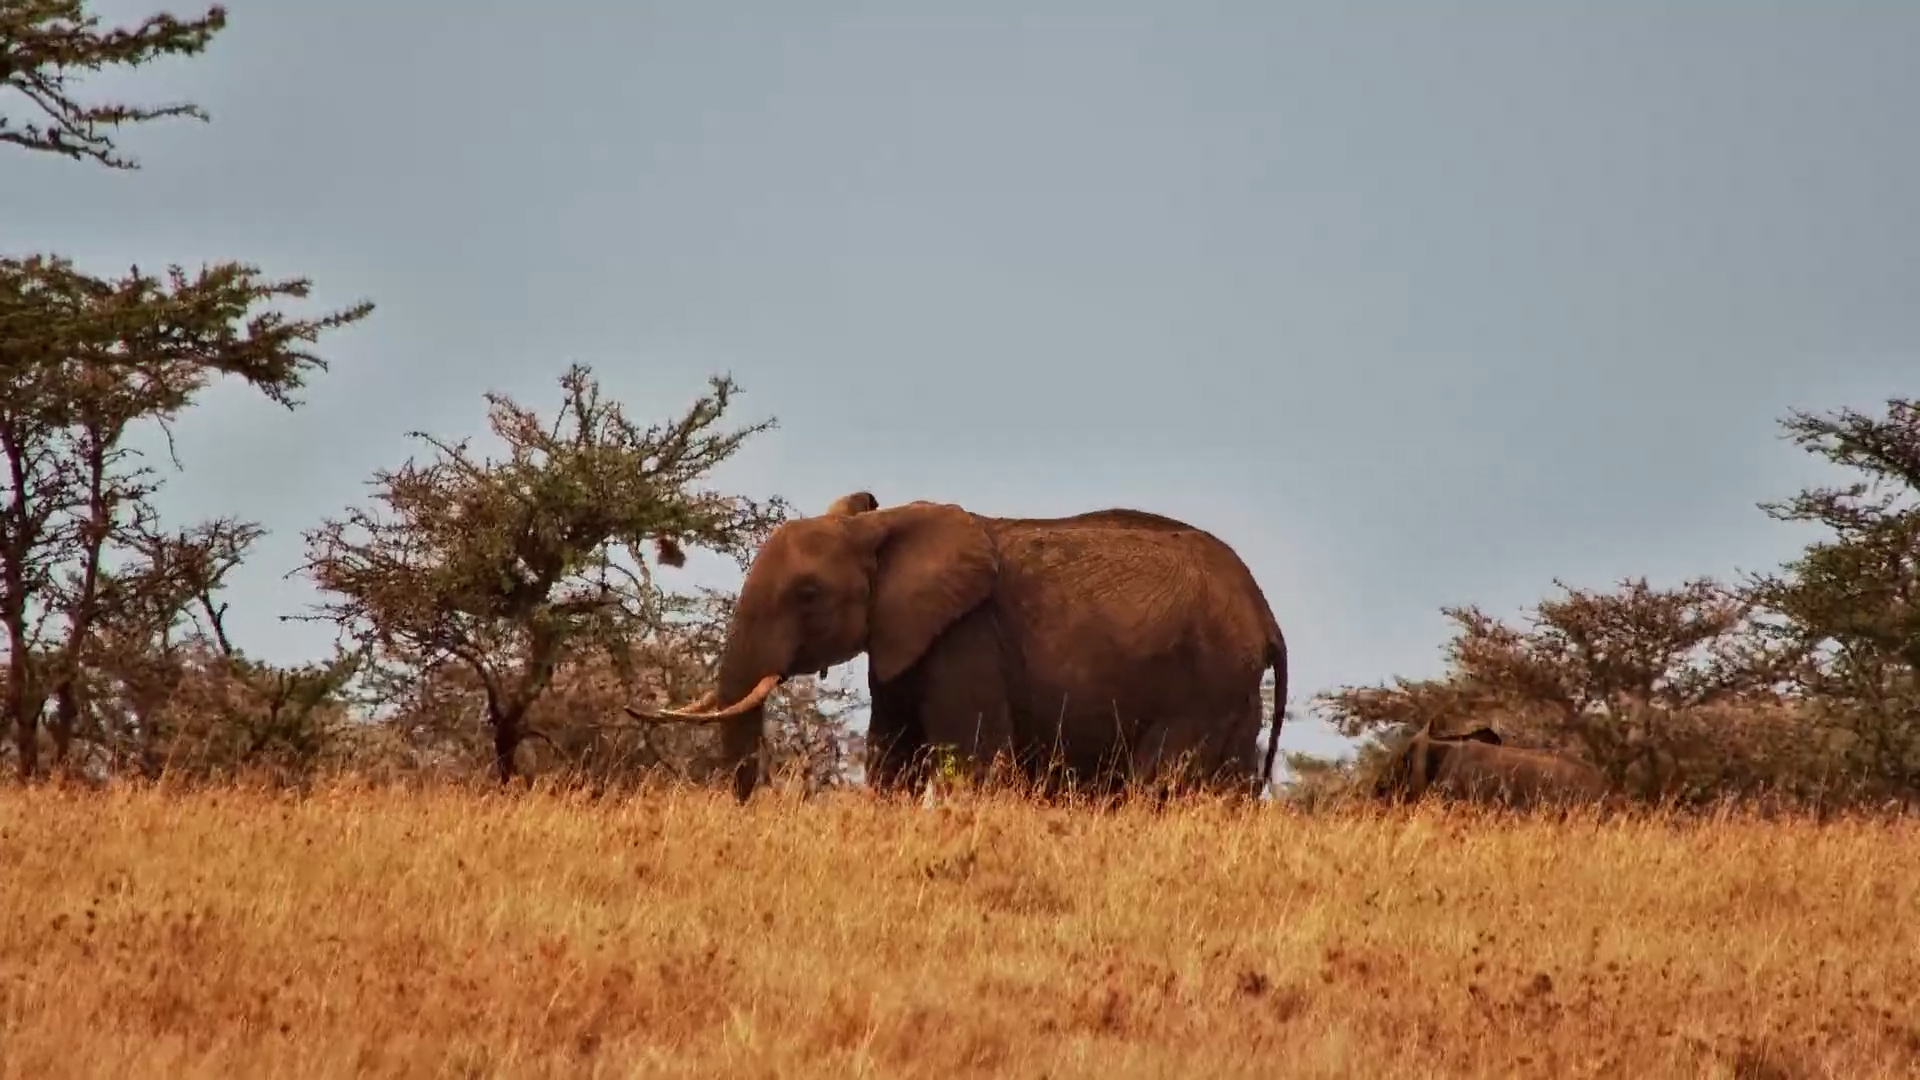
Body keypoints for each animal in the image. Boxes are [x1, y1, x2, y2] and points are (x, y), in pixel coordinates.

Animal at [626, 491, 1290, 803]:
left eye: (808, 594)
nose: (750, 804)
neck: (877, 527)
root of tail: (1265, 614)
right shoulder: (904, 640)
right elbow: (890, 755)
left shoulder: (967, 638)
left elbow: (972, 757)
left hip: (1206, 680)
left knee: (1163, 783)